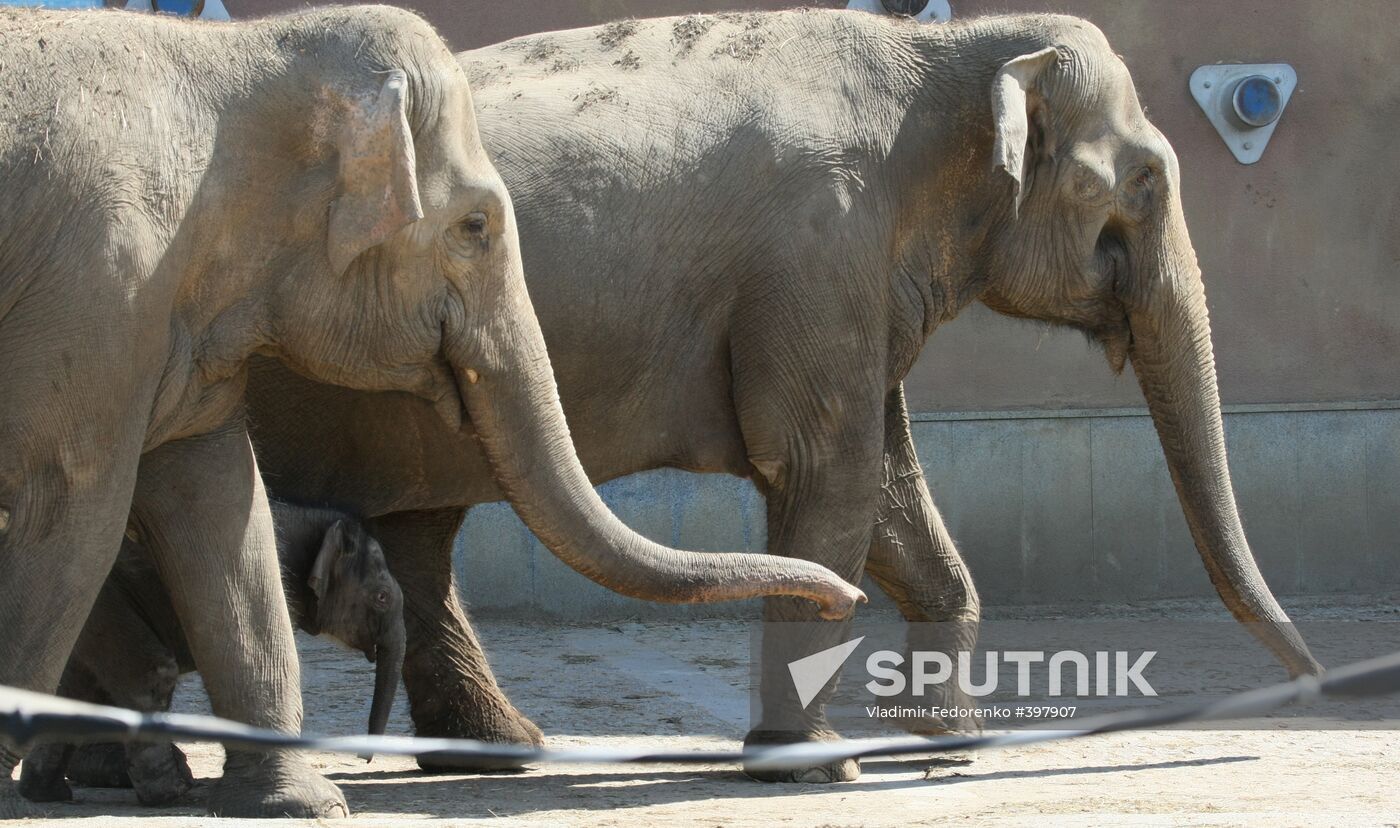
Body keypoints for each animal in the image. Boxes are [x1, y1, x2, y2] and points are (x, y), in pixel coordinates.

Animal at [17, 500, 402, 807]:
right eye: (381, 597)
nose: (365, 759)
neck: (315, 520)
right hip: (100, 598)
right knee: (150, 672)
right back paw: (172, 792)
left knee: (79, 683)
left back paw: (46, 793)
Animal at [243, 8, 1323, 784]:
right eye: (1142, 182)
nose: (1310, 687)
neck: (944, 50)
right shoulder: (819, 253)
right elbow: (826, 473)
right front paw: (817, 767)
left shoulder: (856, 277)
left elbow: (886, 492)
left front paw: (946, 745)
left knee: (422, 538)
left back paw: (507, 752)